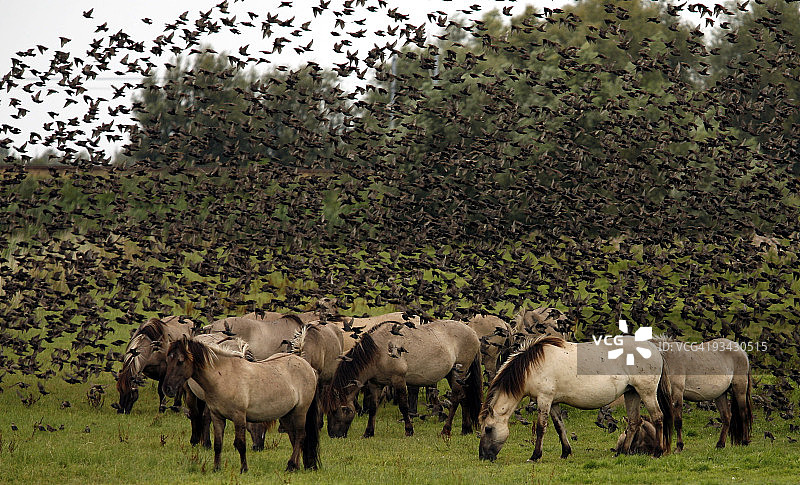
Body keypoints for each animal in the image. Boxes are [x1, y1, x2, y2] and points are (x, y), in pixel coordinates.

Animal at [164, 337, 320, 473]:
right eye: (168, 359)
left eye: (180, 361)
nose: (168, 389)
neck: (223, 376)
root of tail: (307, 366)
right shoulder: (217, 417)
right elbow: (218, 444)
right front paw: (216, 468)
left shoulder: (239, 416)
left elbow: (240, 443)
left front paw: (244, 469)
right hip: (287, 415)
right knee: (293, 437)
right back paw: (296, 466)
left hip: (300, 412)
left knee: (300, 436)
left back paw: (291, 465)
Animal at [323, 319, 483, 439]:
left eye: (336, 411)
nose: (333, 435)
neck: (379, 351)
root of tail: (473, 332)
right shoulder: (376, 385)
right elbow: (373, 407)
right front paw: (368, 432)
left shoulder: (398, 380)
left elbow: (403, 406)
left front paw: (409, 430)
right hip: (453, 375)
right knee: (463, 397)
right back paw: (466, 429)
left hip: (459, 374)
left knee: (455, 399)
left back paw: (446, 430)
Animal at [478, 335, 673, 462]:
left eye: (488, 428)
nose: (483, 457)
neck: (532, 366)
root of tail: (655, 350)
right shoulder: (554, 402)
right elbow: (559, 427)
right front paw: (565, 452)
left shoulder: (544, 399)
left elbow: (541, 428)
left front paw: (535, 456)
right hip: (631, 393)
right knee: (634, 422)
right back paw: (622, 453)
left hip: (646, 392)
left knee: (658, 418)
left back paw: (657, 452)